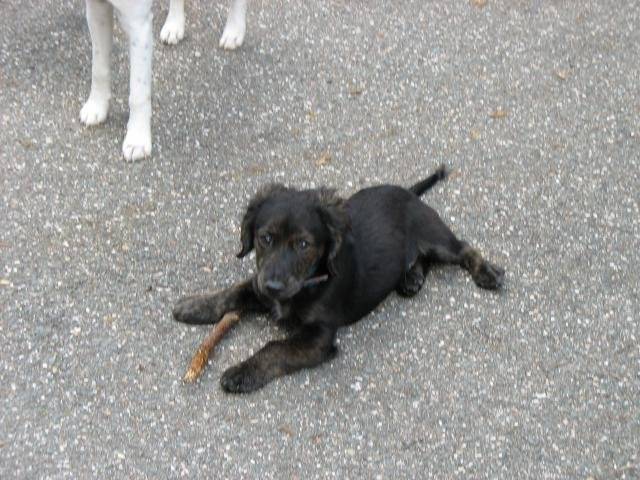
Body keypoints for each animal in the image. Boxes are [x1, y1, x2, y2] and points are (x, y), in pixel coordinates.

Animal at [172, 166, 505, 393]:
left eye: (303, 244)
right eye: (265, 238)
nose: (274, 287)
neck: (309, 282)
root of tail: (409, 193)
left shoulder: (319, 338)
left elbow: (274, 348)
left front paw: (241, 373)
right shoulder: (259, 283)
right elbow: (232, 292)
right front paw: (192, 306)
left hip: (434, 235)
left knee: (463, 248)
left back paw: (486, 273)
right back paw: (411, 277)